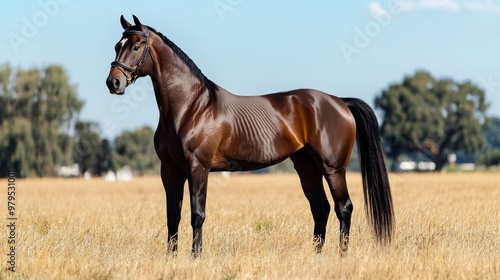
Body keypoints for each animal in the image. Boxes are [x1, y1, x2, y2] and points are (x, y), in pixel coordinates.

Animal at [106, 14, 394, 256]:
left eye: (136, 45)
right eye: (117, 45)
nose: (114, 82)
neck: (189, 107)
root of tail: (340, 102)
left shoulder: (198, 168)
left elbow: (197, 214)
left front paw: (195, 257)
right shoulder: (170, 171)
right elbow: (172, 216)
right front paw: (172, 258)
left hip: (333, 168)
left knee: (343, 208)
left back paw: (342, 256)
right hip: (306, 166)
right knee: (320, 209)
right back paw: (317, 257)